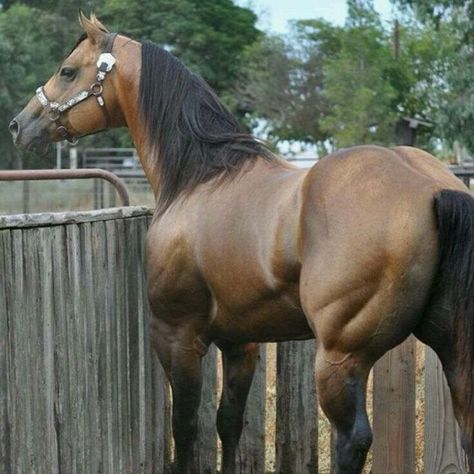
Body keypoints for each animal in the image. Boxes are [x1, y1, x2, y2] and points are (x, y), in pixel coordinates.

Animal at [8, 12, 474, 472]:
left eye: (67, 71)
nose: (19, 125)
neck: (200, 177)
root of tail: (431, 187)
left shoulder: (177, 337)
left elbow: (186, 429)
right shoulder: (241, 343)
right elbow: (228, 423)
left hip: (341, 358)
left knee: (351, 441)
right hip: (451, 347)